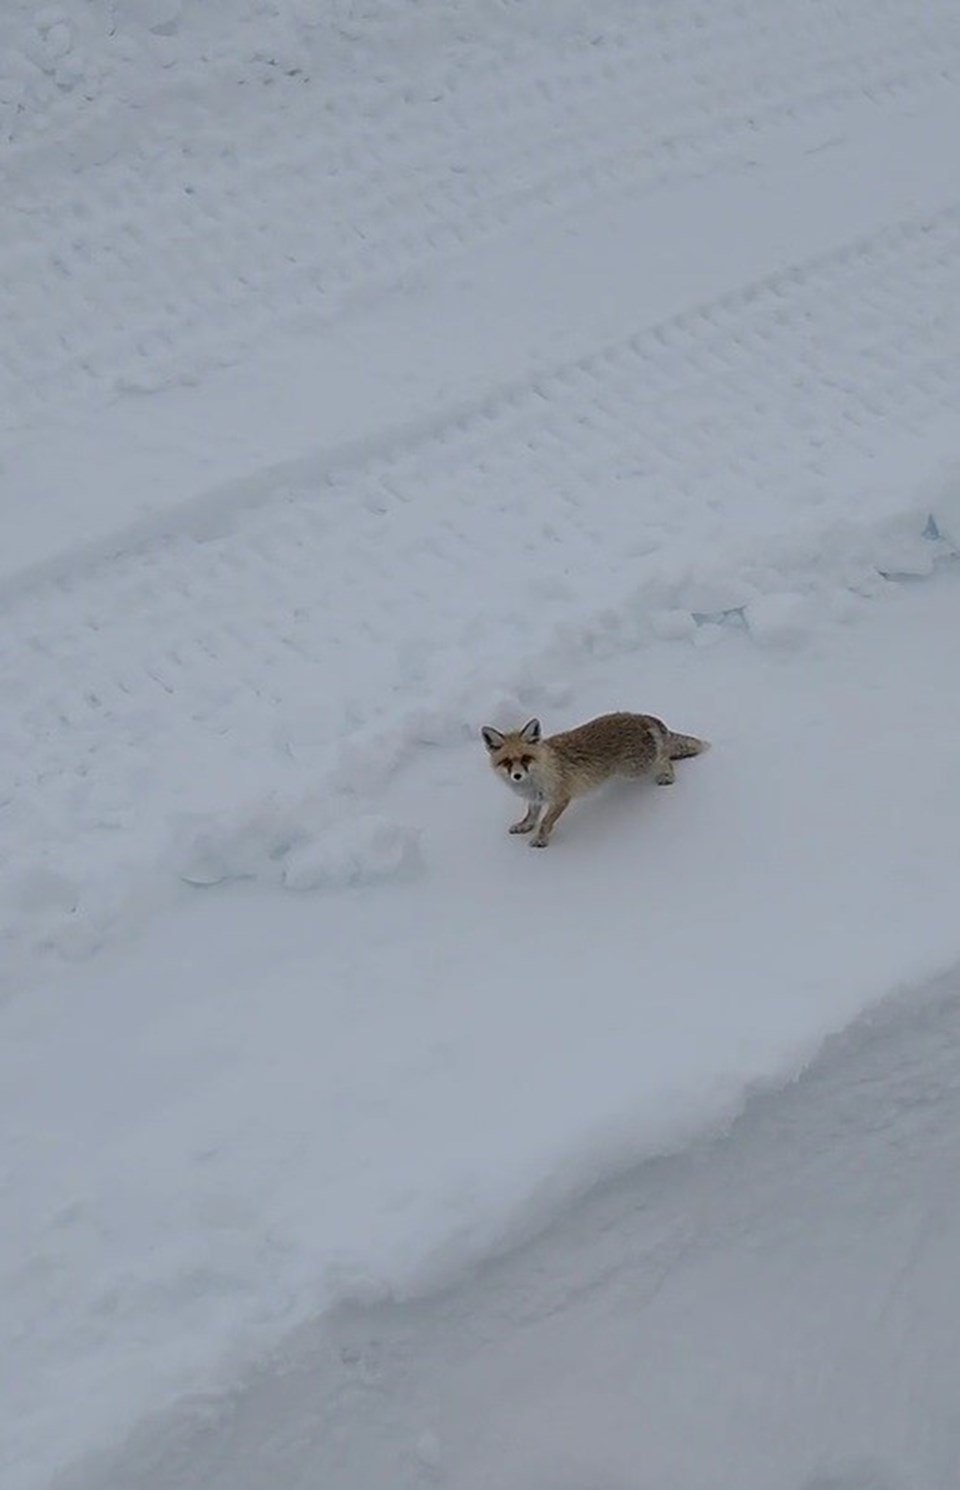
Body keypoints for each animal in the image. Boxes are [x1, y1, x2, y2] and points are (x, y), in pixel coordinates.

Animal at [482, 712, 709, 846]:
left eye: (526, 758)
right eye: (507, 762)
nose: (517, 776)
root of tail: (638, 716)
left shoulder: (561, 798)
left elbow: (546, 821)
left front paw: (540, 839)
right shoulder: (535, 799)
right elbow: (531, 816)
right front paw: (525, 826)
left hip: (635, 768)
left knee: (665, 755)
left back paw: (667, 774)